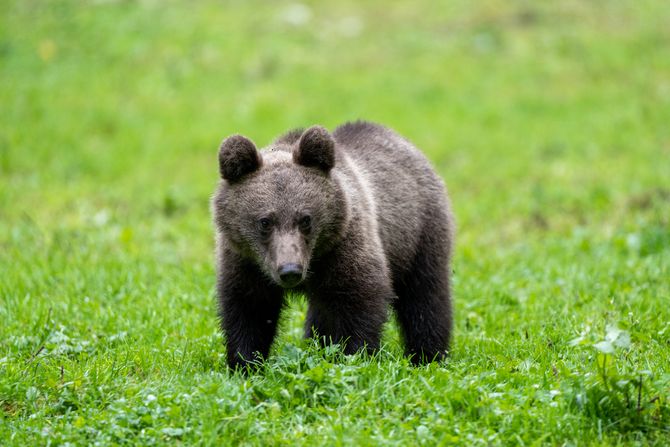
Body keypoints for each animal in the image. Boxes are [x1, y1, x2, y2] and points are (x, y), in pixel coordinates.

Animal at [214, 121, 456, 370]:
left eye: (305, 219)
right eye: (265, 221)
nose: (290, 271)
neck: (314, 260)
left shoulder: (345, 248)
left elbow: (358, 303)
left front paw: (355, 356)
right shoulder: (245, 260)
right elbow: (249, 310)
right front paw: (244, 363)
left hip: (419, 235)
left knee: (425, 298)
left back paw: (428, 356)